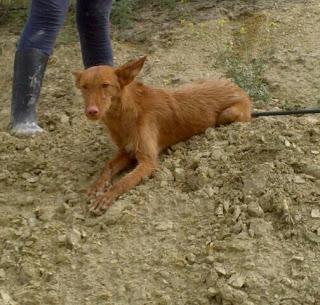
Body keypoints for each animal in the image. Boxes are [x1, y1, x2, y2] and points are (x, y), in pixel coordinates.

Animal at [73, 57, 252, 214]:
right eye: (84, 87)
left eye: (105, 85)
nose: (91, 111)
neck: (126, 114)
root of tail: (236, 86)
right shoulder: (126, 151)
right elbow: (107, 167)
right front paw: (97, 186)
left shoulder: (148, 162)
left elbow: (123, 182)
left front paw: (105, 197)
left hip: (227, 114)